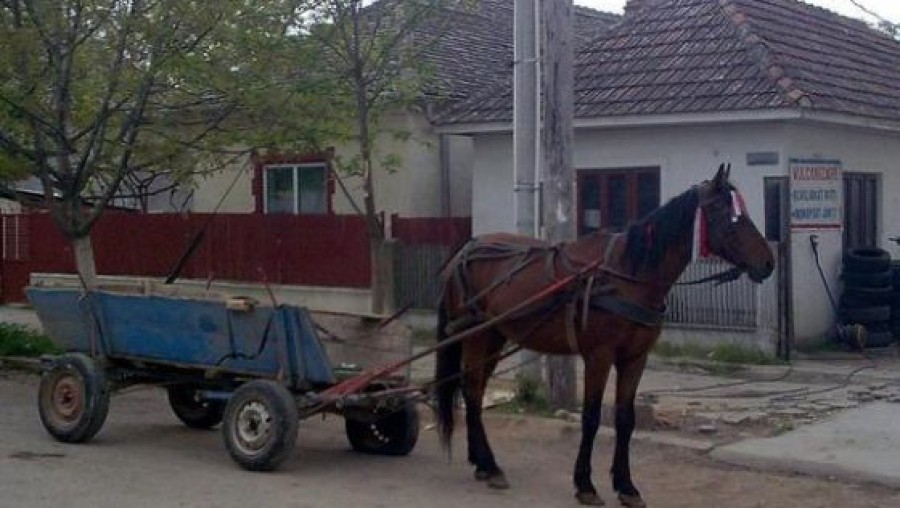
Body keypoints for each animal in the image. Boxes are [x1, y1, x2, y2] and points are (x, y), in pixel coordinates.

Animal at [436, 165, 772, 506]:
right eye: (728, 215)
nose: (768, 263)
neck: (627, 275)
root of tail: (466, 249)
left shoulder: (635, 358)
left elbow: (625, 419)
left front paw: (626, 486)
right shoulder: (599, 356)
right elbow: (592, 417)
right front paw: (585, 483)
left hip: (494, 337)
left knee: (473, 390)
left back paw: (480, 462)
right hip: (476, 335)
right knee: (472, 390)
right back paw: (489, 465)